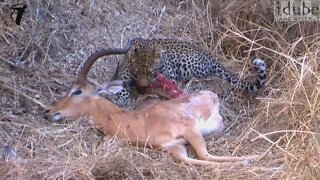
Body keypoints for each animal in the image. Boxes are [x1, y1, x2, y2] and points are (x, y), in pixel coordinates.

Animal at [109, 37, 266, 107]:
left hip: (187, 63)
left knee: (198, 77)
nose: (143, 86)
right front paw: (123, 99)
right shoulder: (124, 75)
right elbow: (120, 88)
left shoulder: (169, 73)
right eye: (136, 72)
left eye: (150, 72)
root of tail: (209, 56)